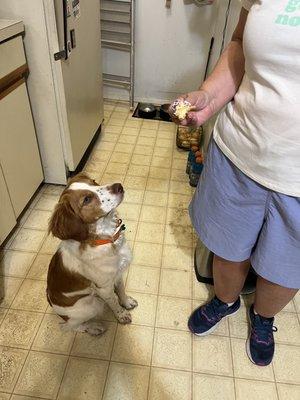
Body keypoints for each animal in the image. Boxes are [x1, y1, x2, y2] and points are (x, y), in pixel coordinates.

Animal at [46, 173, 138, 334]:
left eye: (94, 182)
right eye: (87, 199)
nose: (118, 186)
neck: (107, 239)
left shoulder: (117, 274)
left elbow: (121, 290)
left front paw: (126, 302)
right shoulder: (104, 288)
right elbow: (114, 303)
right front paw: (122, 315)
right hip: (92, 305)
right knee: (70, 327)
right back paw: (94, 328)